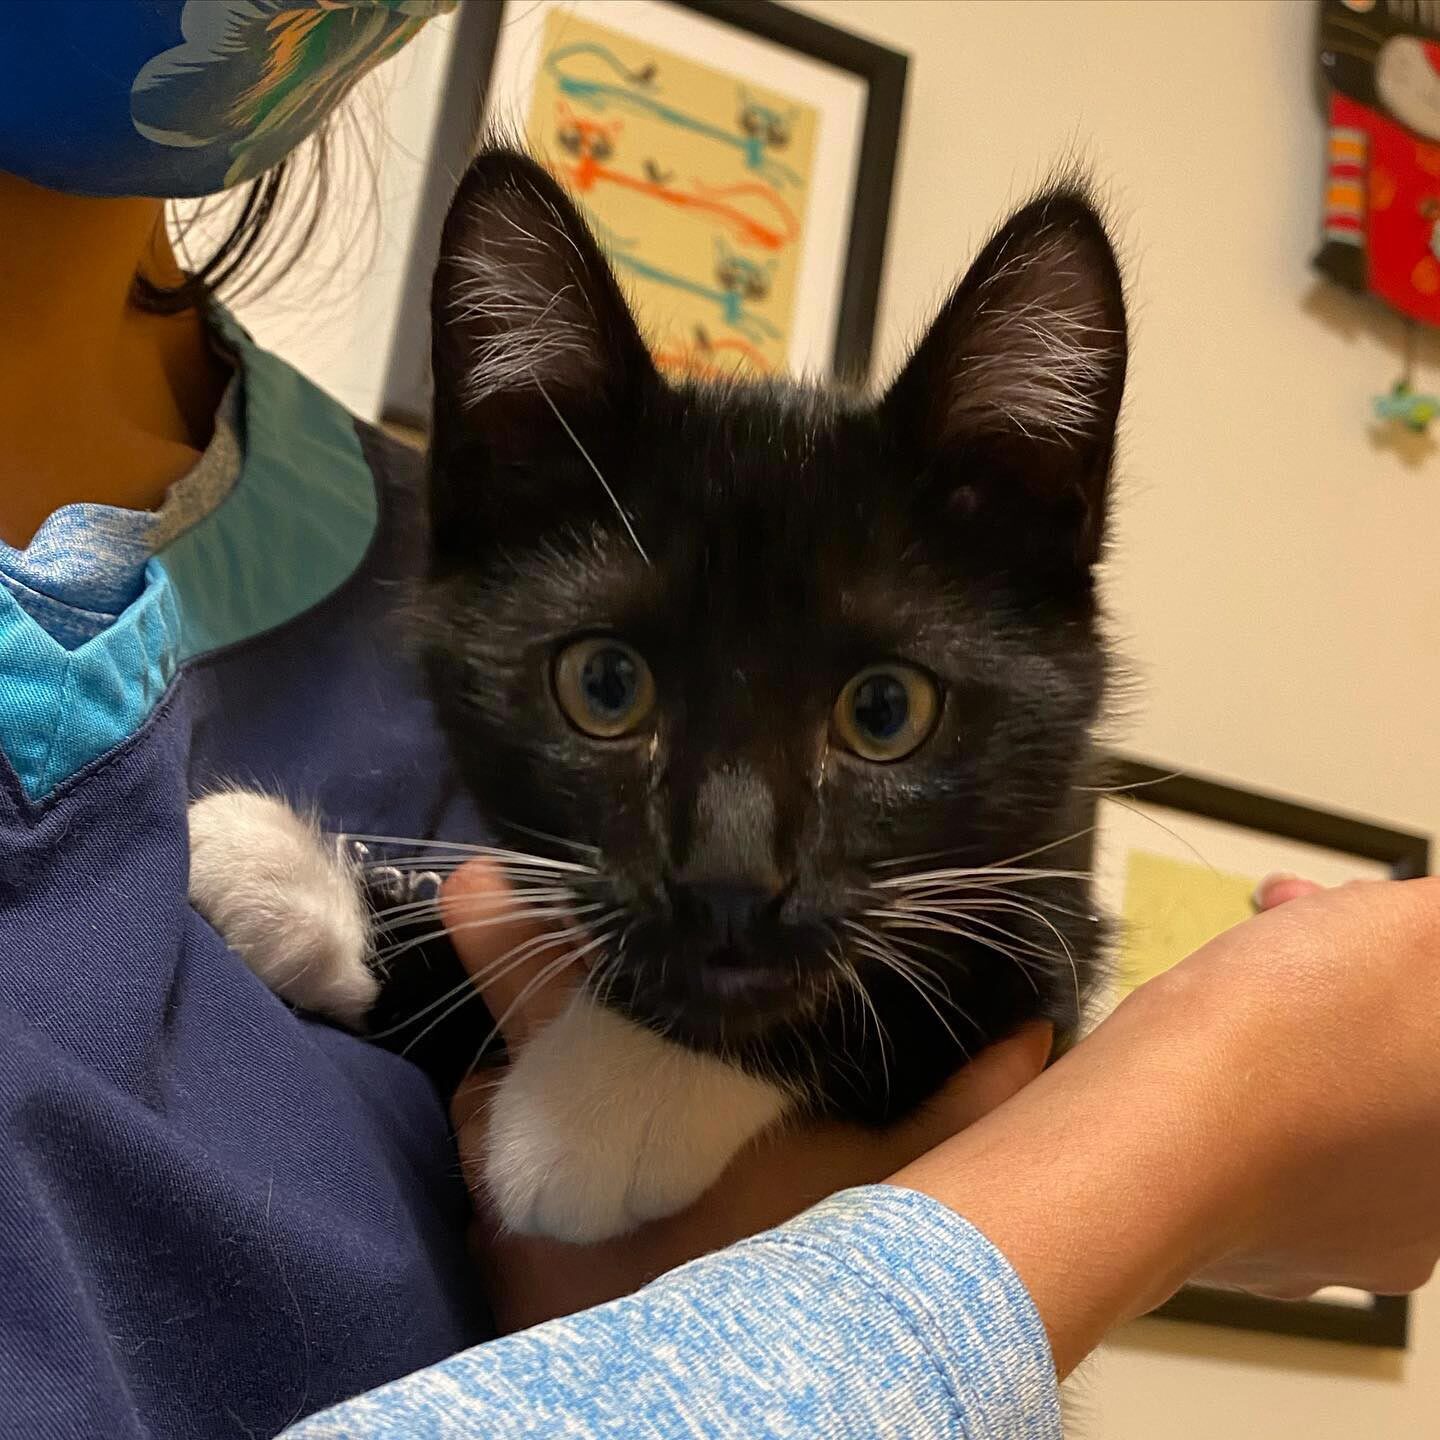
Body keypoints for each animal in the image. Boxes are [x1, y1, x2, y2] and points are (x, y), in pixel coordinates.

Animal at [191, 149, 1128, 1249]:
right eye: (604, 685)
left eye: (885, 711)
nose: (728, 880)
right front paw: (299, 888)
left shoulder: (1055, 915)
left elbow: (925, 979)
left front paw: (612, 1094)